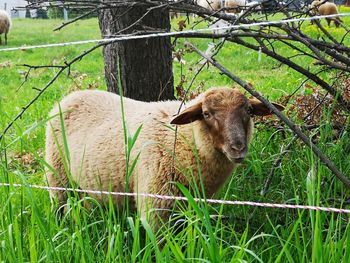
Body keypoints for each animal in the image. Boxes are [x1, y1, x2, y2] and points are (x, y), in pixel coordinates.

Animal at [45, 87, 284, 230]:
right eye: (206, 114)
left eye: (249, 111)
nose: (238, 147)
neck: (184, 140)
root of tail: (70, 96)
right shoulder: (155, 203)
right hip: (58, 177)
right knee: (59, 207)